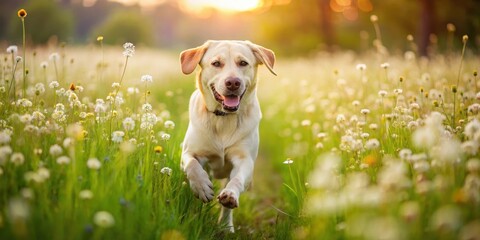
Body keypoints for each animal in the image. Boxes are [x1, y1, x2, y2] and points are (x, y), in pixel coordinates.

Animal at [180, 40, 276, 232]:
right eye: (216, 63)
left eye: (243, 63)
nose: (233, 82)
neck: (223, 118)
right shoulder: (188, 152)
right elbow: (192, 165)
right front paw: (202, 187)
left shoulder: (244, 160)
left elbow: (237, 180)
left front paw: (230, 195)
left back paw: (225, 226)